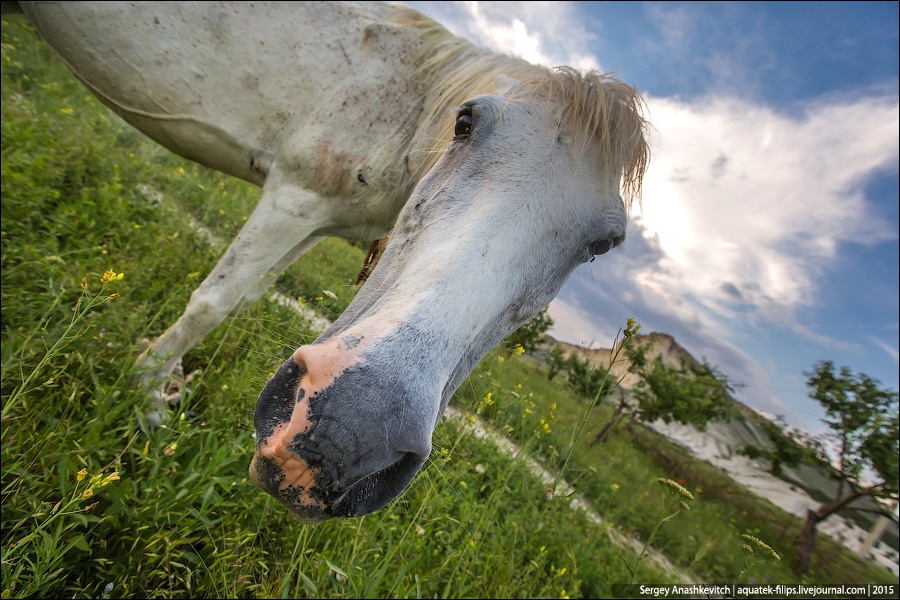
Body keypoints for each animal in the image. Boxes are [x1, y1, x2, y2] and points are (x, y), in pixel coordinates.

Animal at [12, 2, 648, 524]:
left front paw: (161, 382)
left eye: (603, 244)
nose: (343, 439)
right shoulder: (294, 197)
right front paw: (146, 397)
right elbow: (215, 300)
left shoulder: (316, 220)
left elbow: (244, 296)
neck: (408, 102)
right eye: (465, 123)